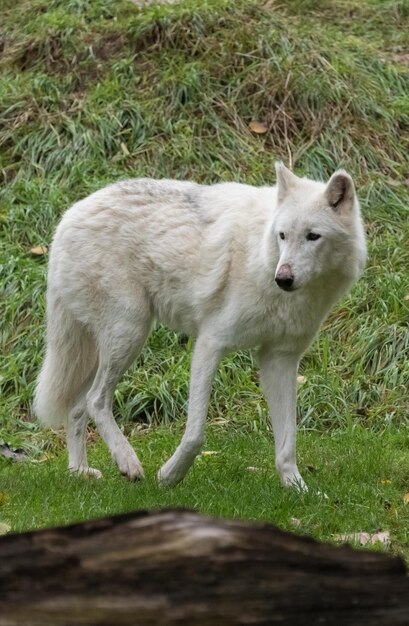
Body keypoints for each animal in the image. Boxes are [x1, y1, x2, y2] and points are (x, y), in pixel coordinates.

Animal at [34, 161, 366, 488]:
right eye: (283, 235)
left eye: (313, 236)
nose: (282, 278)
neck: (262, 258)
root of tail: (68, 216)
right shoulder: (210, 343)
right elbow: (195, 435)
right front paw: (169, 476)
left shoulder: (280, 359)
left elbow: (288, 442)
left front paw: (297, 489)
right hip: (129, 334)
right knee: (95, 401)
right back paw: (128, 462)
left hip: (109, 347)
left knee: (76, 406)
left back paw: (80, 471)